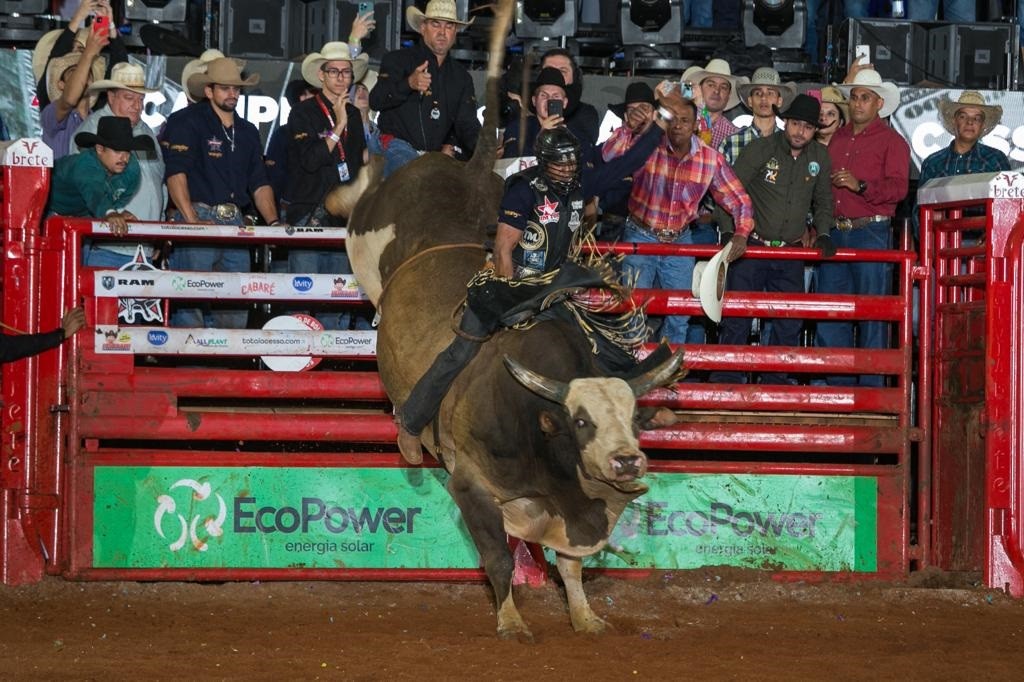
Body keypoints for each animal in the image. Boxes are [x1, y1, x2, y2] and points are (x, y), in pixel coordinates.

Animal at [331, 1, 684, 638]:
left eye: (630, 417)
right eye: (580, 421)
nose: (627, 459)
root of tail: (470, 170)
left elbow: (570, 564)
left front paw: (584, 616)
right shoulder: (471, 482)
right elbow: (496, 555)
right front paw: (512, 621)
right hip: (367, 244)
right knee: (365, 195)